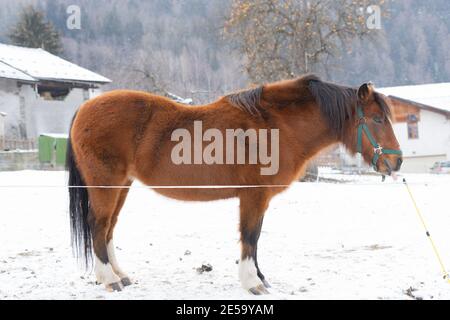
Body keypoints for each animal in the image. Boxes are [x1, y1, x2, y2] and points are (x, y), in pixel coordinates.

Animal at [66, 74, 400, 294]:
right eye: (377, 119)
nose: (396, 162)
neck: (274, 126)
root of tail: (84, 109)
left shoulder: (260, 199)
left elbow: (256, 237)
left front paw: (261, 278)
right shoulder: (254, 196)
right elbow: (250, 237)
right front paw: (252, 283)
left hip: (122, 186)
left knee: (108, 229)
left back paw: (119, 275)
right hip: (106, 185)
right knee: (98, 225)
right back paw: (109, 279)